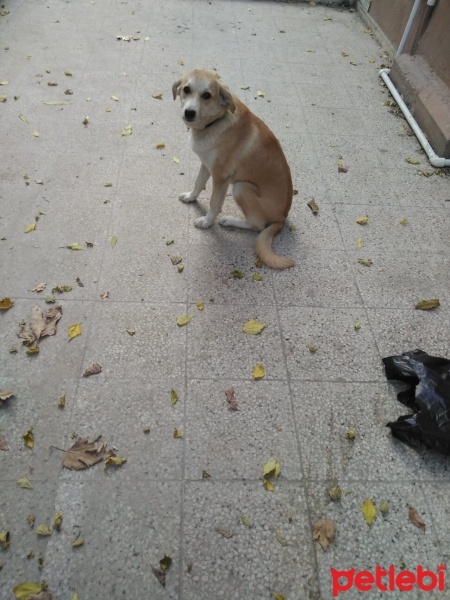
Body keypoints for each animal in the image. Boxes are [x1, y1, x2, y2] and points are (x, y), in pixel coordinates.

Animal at [172, 68, 296, 270]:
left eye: (207, 95)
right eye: (186, 89)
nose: (189, 112)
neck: (215, 122)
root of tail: (282, 218)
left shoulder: (221, 177)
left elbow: (214, 203)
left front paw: (207, 221)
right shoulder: (206, 165)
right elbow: (198, 184)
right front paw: (191, 197)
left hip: (241, 187)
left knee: (258, 225)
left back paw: (230, 220)